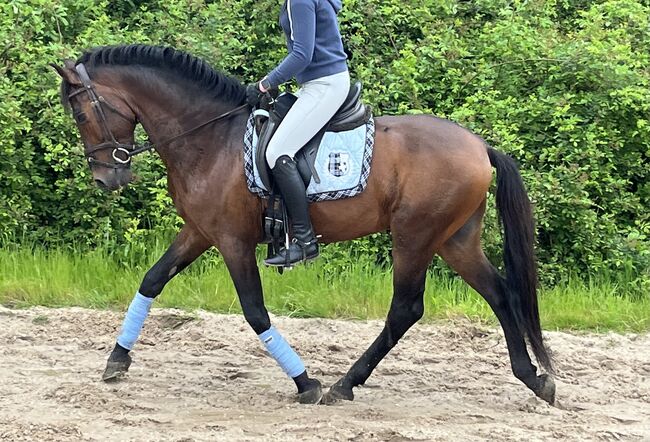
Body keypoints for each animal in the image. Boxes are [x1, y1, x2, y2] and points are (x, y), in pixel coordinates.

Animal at [53, 44, 556, 404]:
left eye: (81, 112)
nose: (106, 178)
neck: (210, 137)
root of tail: (480, 146)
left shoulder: (233, 241)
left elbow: (255, 312)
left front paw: (305, 383)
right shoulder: (200, 232)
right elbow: (152, 280)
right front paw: (117, 360)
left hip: (414, 237)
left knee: (406, 308)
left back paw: (344, 384)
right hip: (454, 240)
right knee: (499, 293)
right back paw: (533, 378)